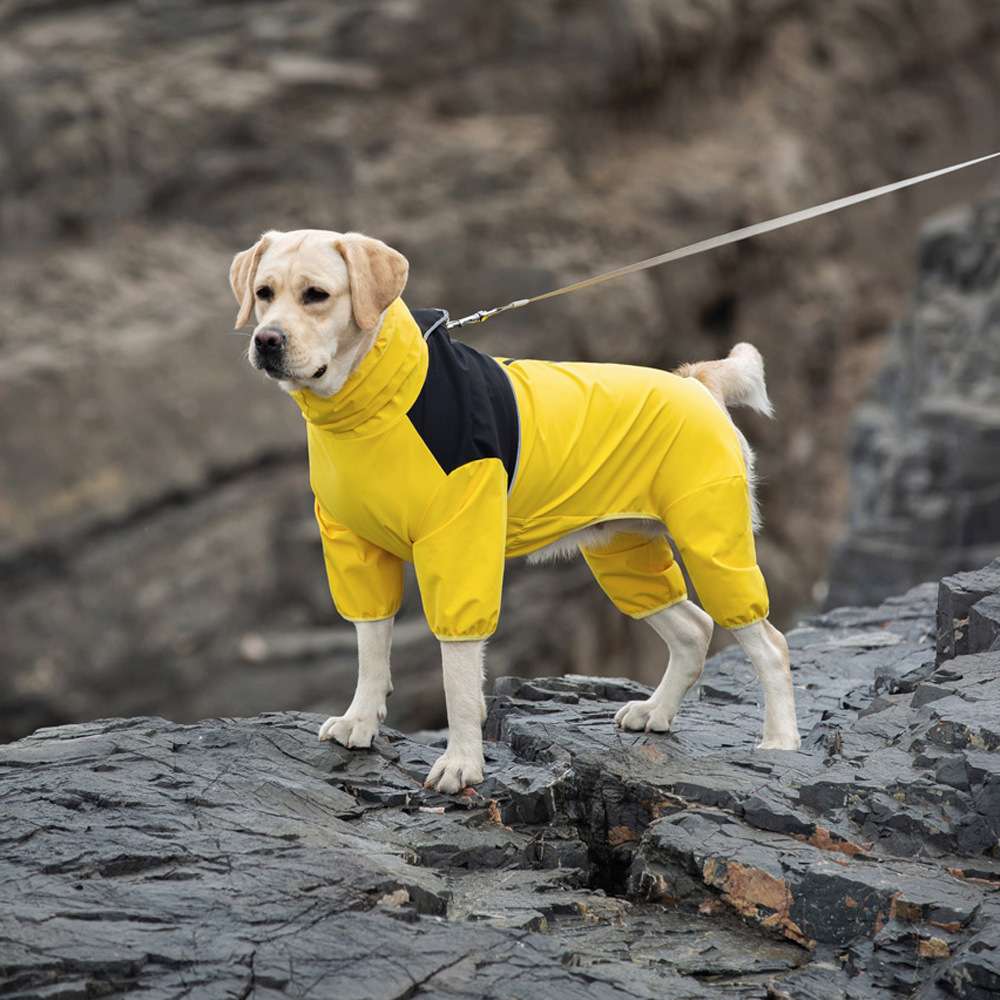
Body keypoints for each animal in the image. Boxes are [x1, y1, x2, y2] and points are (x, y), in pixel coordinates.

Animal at [230, 230, 800, 792]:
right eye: (264, 293)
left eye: (316, 295)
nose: (267, 341)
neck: (374, 407)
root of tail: (696, 382)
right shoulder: (355, 548)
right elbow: (371, 648)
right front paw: (360, 722)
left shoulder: (460, 548)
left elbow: (457, 675)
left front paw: (461, 763)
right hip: (624, 552)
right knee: (693, 629)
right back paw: (655, 712)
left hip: (712, 543)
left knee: (769, 644)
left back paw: (780, 743)